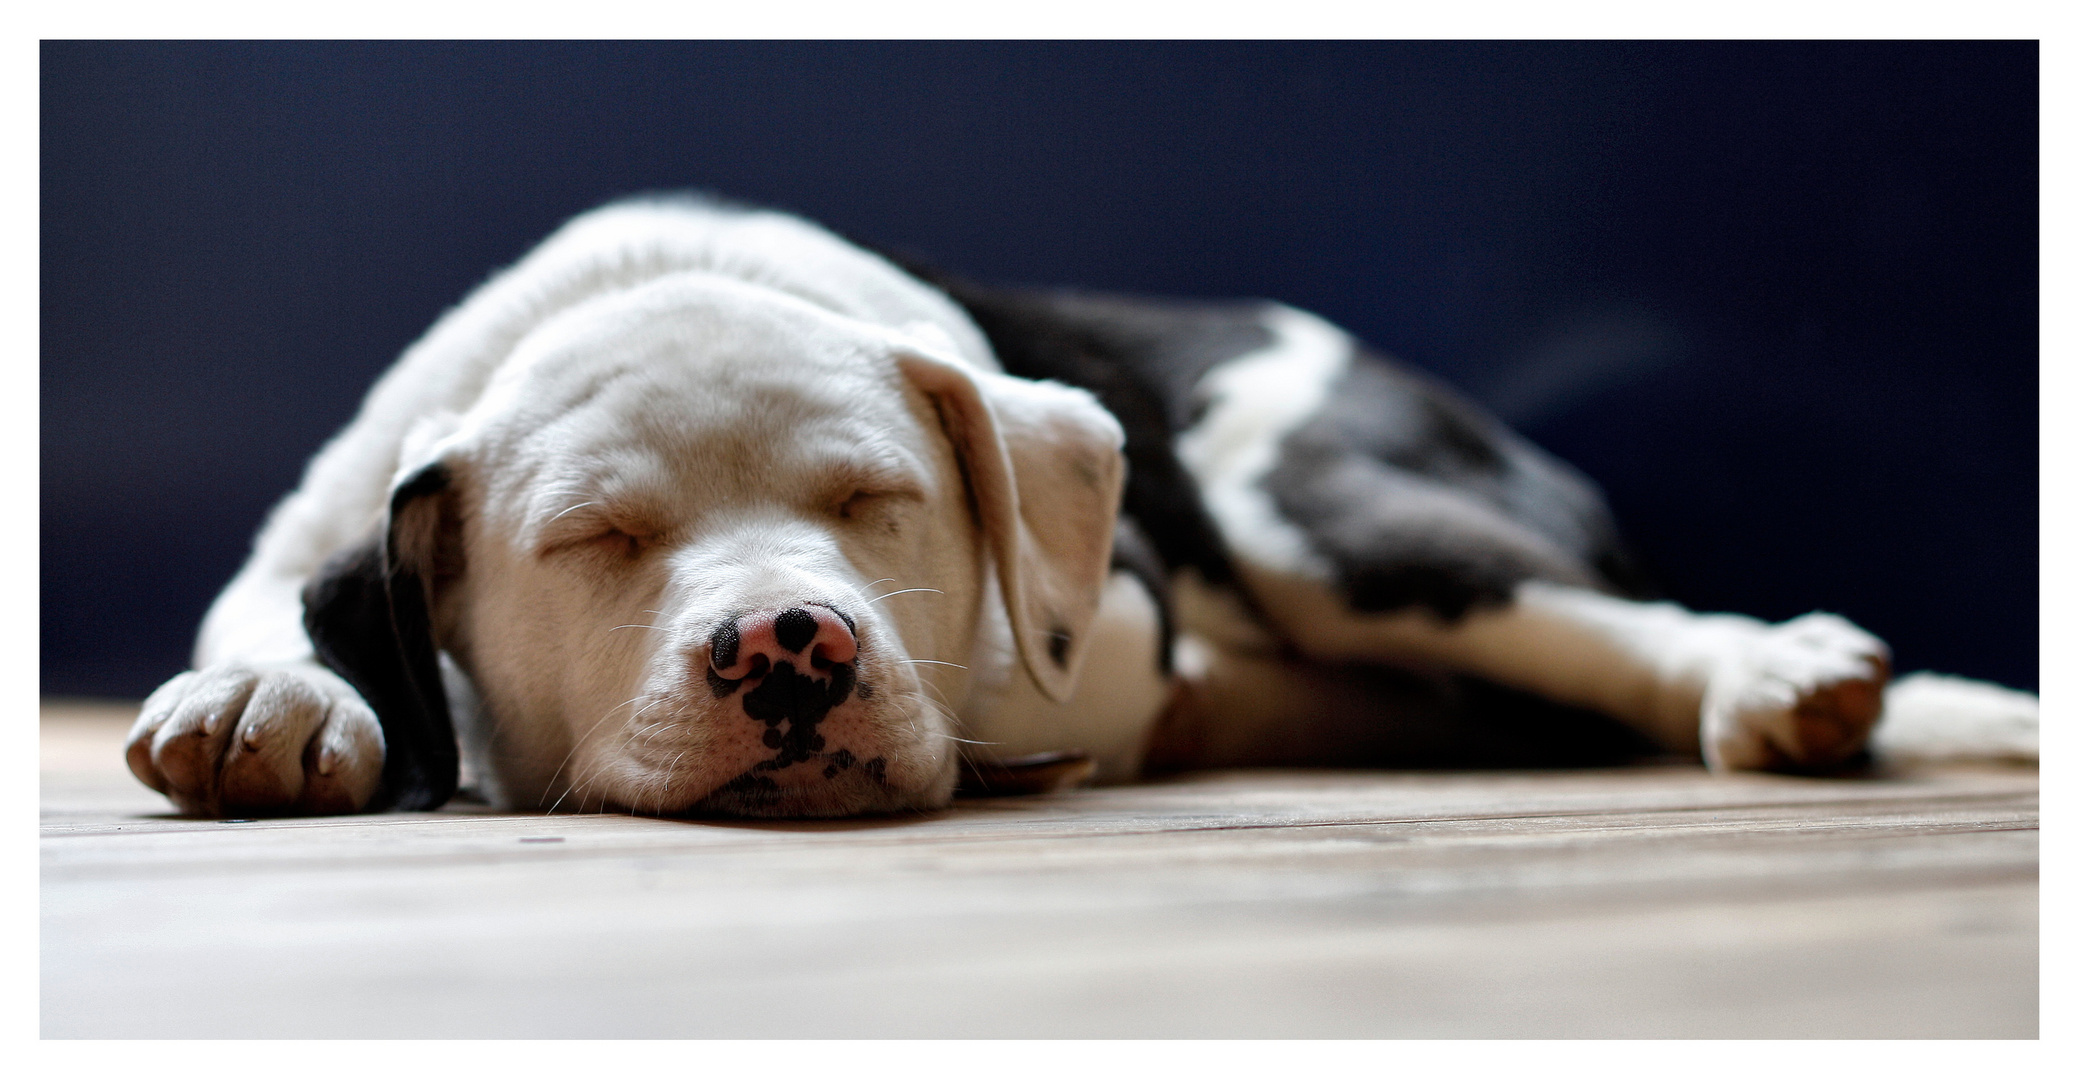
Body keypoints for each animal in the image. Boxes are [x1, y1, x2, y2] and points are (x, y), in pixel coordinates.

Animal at [121, 196, 2038, 819]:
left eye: (879, 501)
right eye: (593, 541)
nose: (792, 643)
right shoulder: (321, 518)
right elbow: (267, 613)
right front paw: (276, 696)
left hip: (1316, 506)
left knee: (1604, 627)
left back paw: (1777, 680)